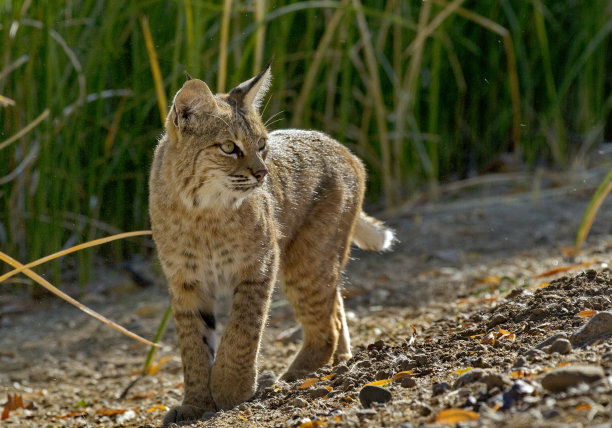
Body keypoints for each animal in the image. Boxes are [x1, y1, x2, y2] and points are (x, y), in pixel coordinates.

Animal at [151, 61, 394, 424]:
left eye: (262, 144)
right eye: (228, 147)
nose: (262, 173)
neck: (201, 209)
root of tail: (344, 149)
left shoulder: (260, 264)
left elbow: (242, 329)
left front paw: (231, 389)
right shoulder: (185, 279)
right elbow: (193, 344)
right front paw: (196, 404)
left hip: (304, 259)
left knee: (326, 326)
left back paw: (291, 377)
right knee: (334, 310)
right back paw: (338, 362)